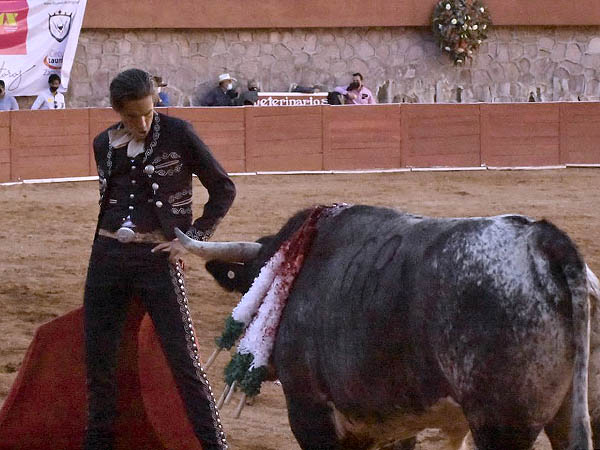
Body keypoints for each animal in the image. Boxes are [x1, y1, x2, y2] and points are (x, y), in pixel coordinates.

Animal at [177, 205, 598, 450]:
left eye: (254, 287)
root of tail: (544, 241)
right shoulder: (393, 420)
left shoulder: (310, 409)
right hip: (576, 410)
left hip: (501, 425)